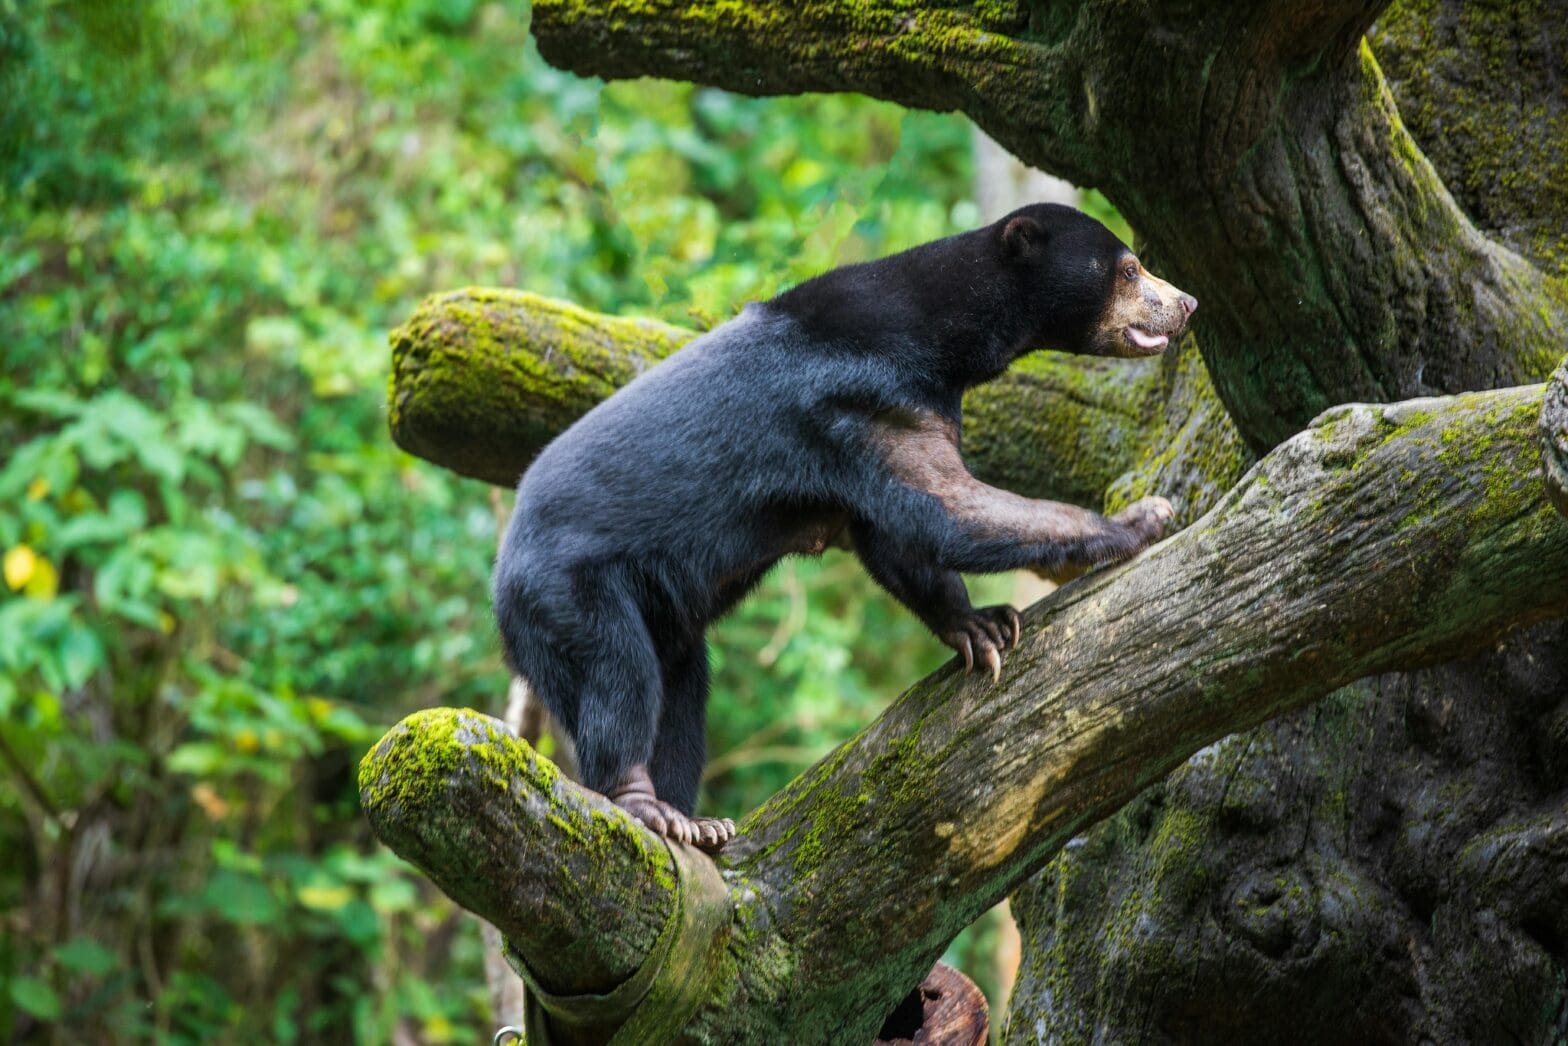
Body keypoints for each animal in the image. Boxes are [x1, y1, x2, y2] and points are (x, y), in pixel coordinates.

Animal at [493, 203, 1196, 852]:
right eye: (1130, 269)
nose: (1187, 302)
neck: (944, 336)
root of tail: (502, 580)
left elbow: (893, 539)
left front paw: (981, 628)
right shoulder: (861, 398)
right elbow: (945, 508)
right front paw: (1145, 518)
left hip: (661, 612)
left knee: (681, 694)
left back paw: (698, 822)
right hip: (571, 592)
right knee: (619, 673)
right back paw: (648, 806)